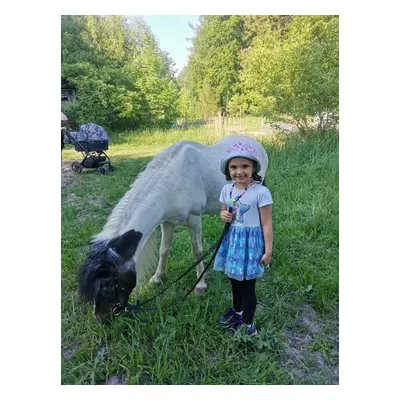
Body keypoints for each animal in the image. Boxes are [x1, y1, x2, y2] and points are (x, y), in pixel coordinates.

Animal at [77, 136, 268, 320]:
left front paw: (200, 285)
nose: (101, 318)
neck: (174, 179)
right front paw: (156, 278)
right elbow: (164, 250)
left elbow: (197, 251)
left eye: (108, 284)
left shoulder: (194, 217)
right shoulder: (166, 221)